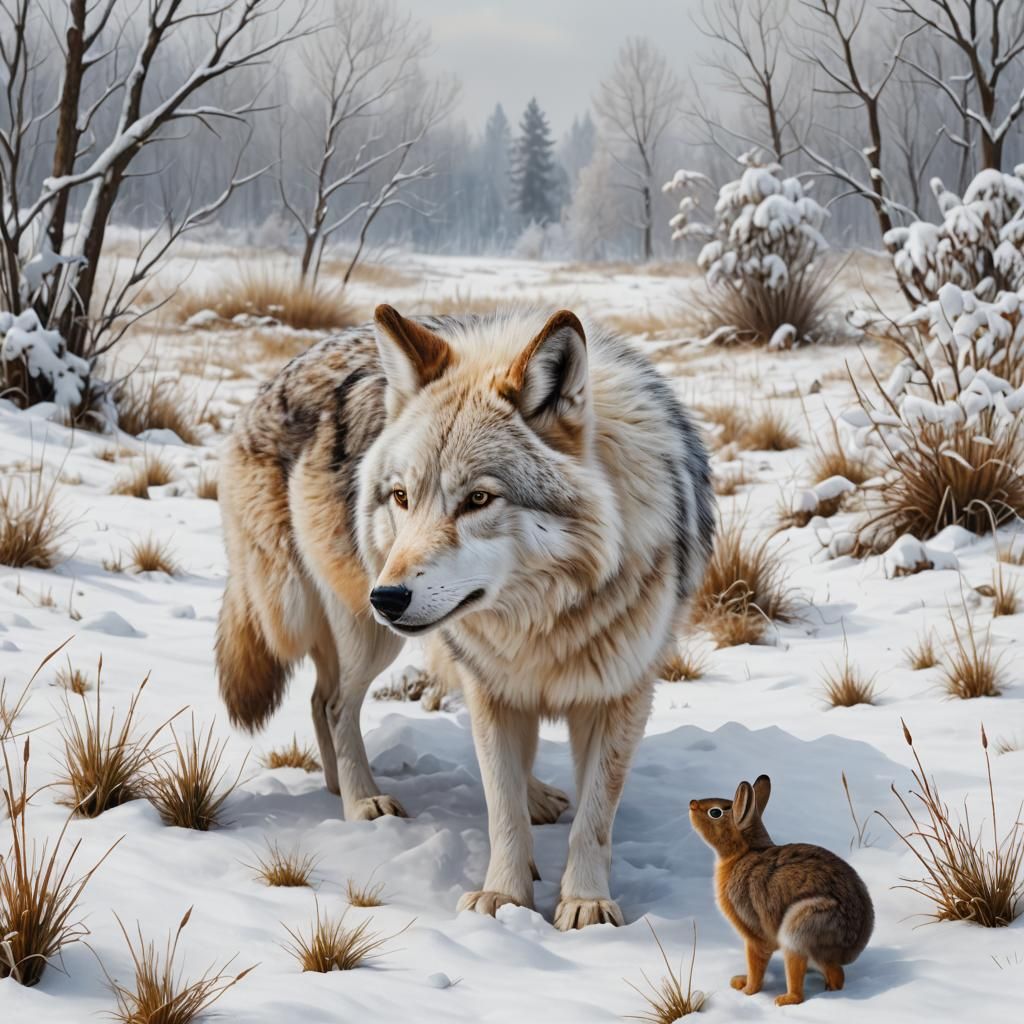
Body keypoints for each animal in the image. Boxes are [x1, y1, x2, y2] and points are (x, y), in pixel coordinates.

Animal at [216, 304, 714, 929]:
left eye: (478, 499)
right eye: (402, 496)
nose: (389, 598)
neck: (541, 615)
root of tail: (273, 382)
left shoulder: (620, 692)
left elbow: (594, 819)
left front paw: (585, 902)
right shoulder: (487, 686)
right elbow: (501, 808)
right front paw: (504, 898)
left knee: (319, 699)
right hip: (364, 630)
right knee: (332, 704)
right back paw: (362, 799)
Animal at [689, 774, 873, 1007]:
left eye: (715, 812)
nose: (691, 803)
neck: (742, 853)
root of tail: (850, 948)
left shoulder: (754, 935)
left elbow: (756, 964)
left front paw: (748, 991)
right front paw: (740, 982)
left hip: (799, 929)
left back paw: (785, 999)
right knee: (834, 973)